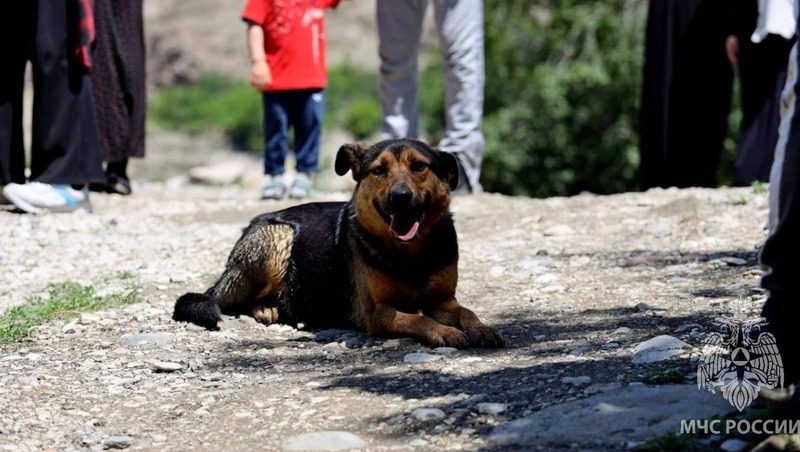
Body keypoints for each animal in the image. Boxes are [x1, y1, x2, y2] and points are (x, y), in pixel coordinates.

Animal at [173, 139, 504, 348]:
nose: (400, 197)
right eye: (378, 170)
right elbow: (418, 320)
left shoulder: (442, 301)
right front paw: (443, 332)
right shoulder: (379, 313)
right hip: (278, 237)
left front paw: (482, 327)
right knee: (234, 300)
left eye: (420, 166)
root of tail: (256, 220)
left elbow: (466, 312)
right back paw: (266, 308)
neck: (409, 253)